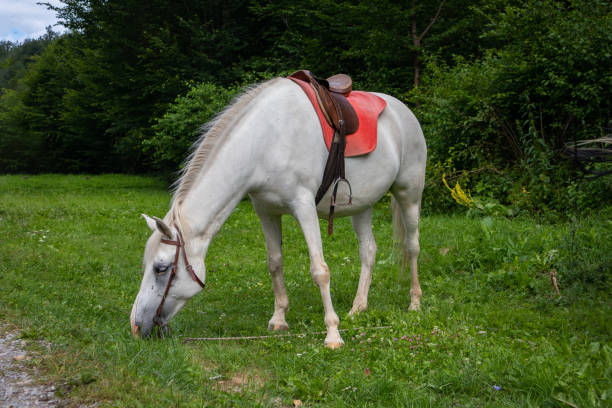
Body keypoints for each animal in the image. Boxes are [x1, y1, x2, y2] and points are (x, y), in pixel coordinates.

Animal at [129, 77, 426, 348]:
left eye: (161, 268)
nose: (136, 326)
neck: (265, 140)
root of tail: (405, 112)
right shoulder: (266, 210)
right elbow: (275, 263)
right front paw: (279, 319)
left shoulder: (304, 207)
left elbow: (320, 270)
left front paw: (332, 334)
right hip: (361, 206)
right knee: (368, 251)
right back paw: (358, 307)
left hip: (409, 195)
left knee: (412, 247)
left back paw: (414, 303)